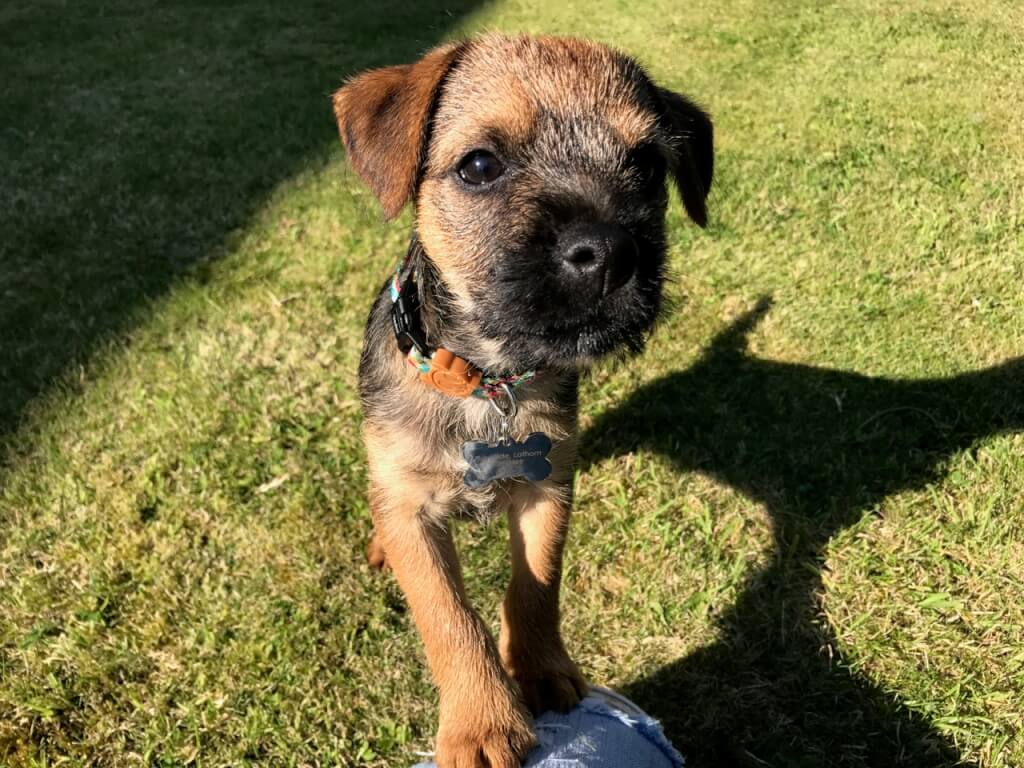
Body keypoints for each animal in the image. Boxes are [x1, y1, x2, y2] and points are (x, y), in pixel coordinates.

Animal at [335, 33, 712, 765]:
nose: (611, 252)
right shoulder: (410, 506)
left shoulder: (549, 485)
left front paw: (541, 672)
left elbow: (536, 585)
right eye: (480, 165)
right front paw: (480, 723)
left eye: (649, 165)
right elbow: (449, 616)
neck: (488, 379)